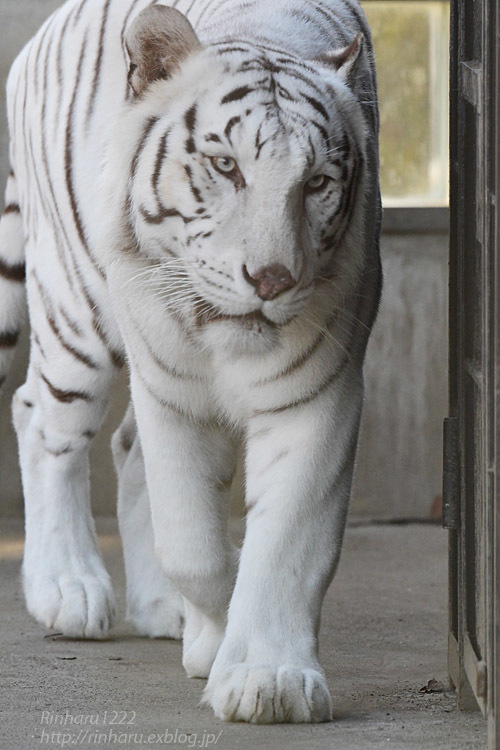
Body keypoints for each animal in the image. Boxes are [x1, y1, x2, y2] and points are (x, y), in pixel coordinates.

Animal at [0, 0, 382, 724]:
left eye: (317, 183)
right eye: (227, 166)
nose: (272, 279)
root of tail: (42, 31)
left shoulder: (318, 393)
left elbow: (289, 541)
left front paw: (268, 679)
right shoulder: (170, 387)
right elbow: (193, 547)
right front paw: (214, 639)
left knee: (123, 447)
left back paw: (159, 611)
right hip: (75, 308)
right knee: (43, 420)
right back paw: (68, 587)